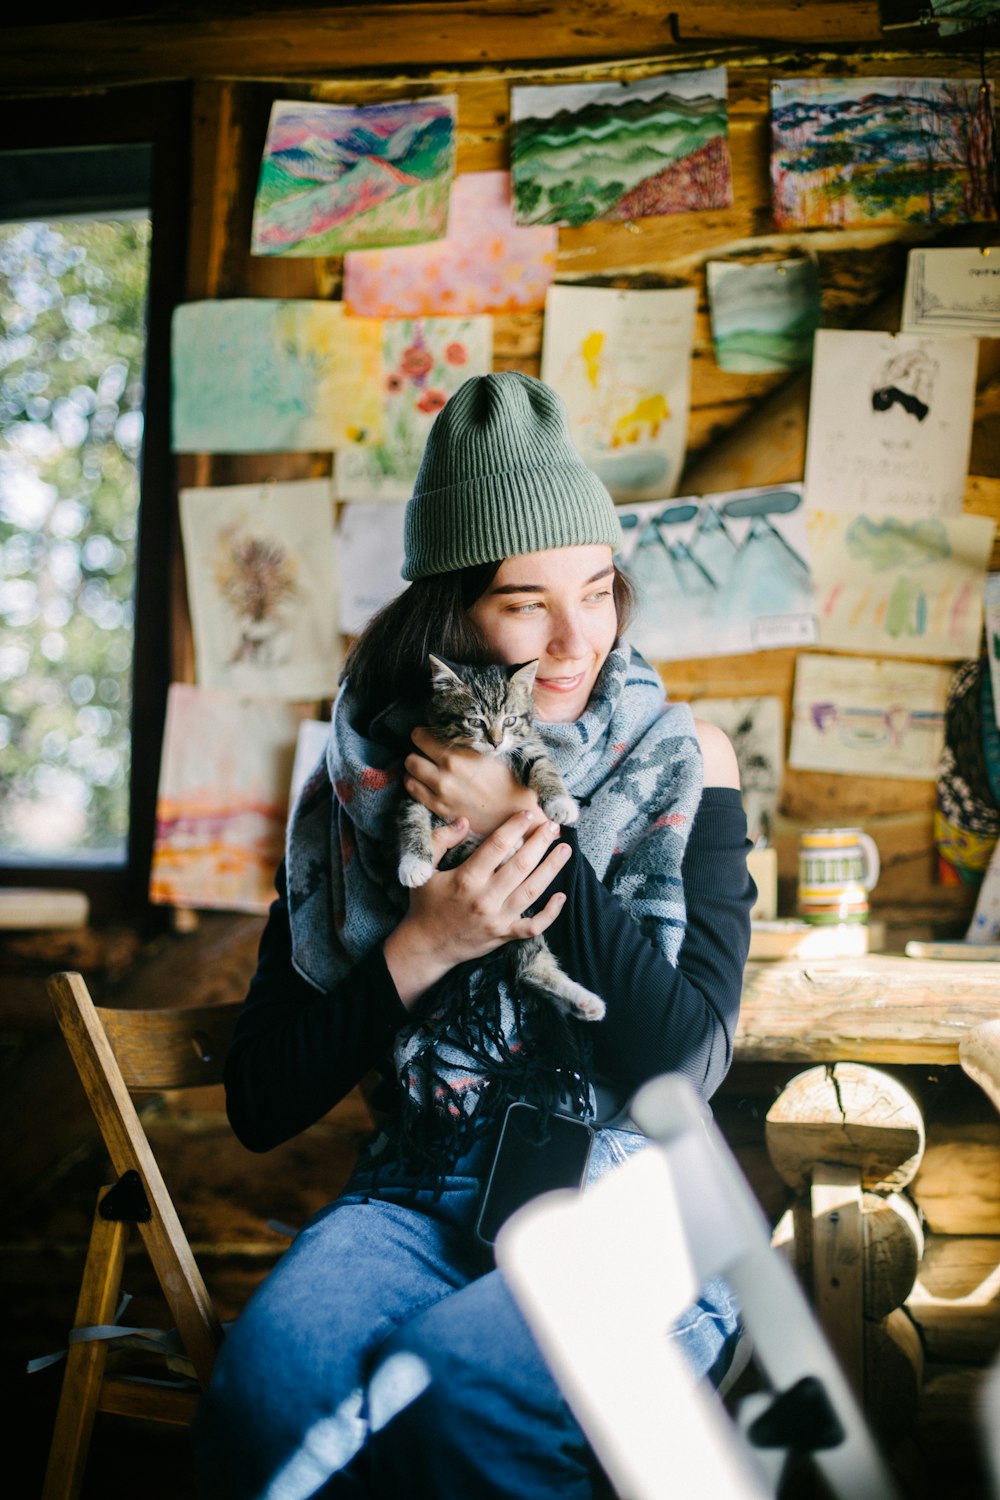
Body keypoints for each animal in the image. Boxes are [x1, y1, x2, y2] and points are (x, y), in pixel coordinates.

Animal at [395, 654, 602, 1020]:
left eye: (510, 720)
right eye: (475, 721)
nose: (494, 741)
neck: (489, 757)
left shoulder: (527, 743)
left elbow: (542, 763)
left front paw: (560, 803)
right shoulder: (414, 782)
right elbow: (412, 817)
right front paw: (413, 864)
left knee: (529, 966)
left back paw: (584, 1002)